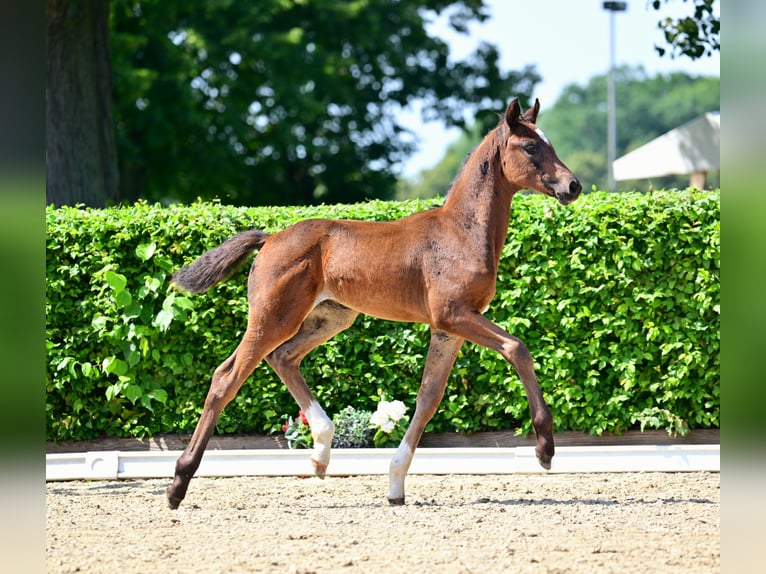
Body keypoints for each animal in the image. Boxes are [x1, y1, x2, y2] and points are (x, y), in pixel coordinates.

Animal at [166, 99, 584, 508]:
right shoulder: (454, 315)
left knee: (283, 358)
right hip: (274, 318)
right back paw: (178, 484)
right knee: (227, 377)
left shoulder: (447, 328)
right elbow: (517, 348)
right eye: (530, 147)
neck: (460, 232)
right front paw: (545, 449)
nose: (573, 185)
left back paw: (320, 453)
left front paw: (396, 483)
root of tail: (270, 238)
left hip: (331, 318)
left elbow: (428, 397)